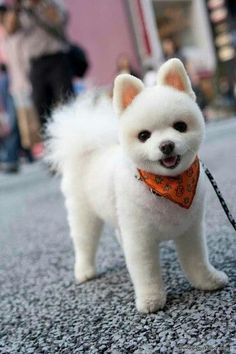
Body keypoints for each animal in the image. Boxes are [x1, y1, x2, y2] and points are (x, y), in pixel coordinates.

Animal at [47, 59, 228, 314]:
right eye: (144, 136)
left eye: (180, 126)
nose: (166, 145)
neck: (168, 187)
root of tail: (89, 150)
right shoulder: (140, 239)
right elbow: (147, 273)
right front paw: (151, 300)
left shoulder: (190, 230)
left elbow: (197, 260)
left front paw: (208, 281)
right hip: (84, 214)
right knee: (84, 242)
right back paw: (84, 271)